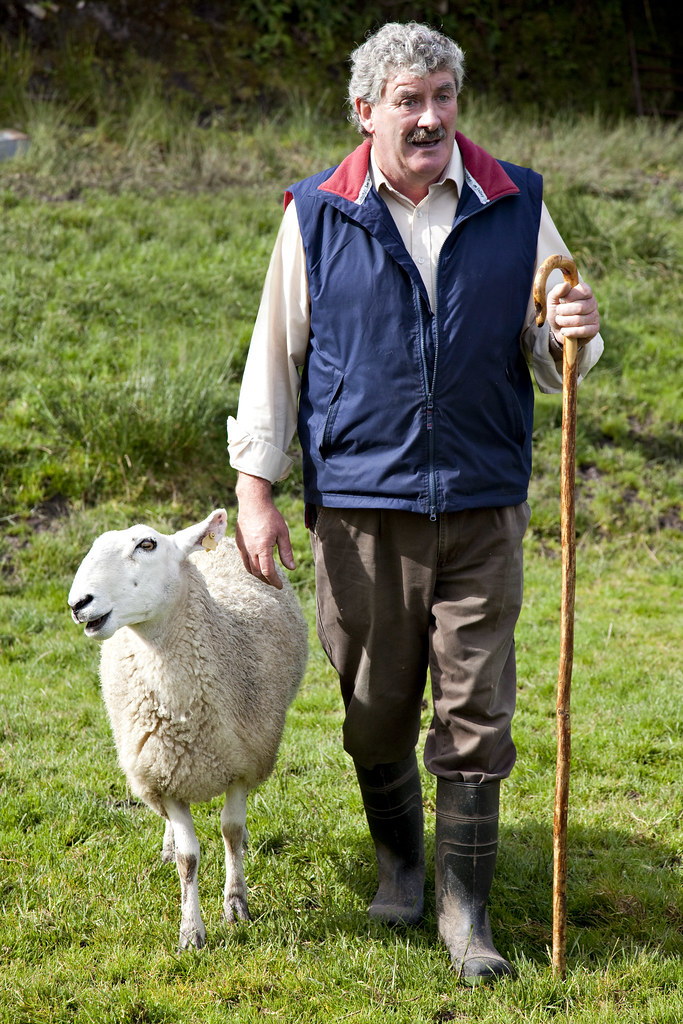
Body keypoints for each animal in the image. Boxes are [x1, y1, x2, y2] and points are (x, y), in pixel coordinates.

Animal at [68, 508, 308, 950]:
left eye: (147, 544)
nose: (79, 604)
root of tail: (219, 541)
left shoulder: (241, 765)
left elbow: (231, 832)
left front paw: (236, 904)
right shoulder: (164, 776)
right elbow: (188, 857)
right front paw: (191, 931)